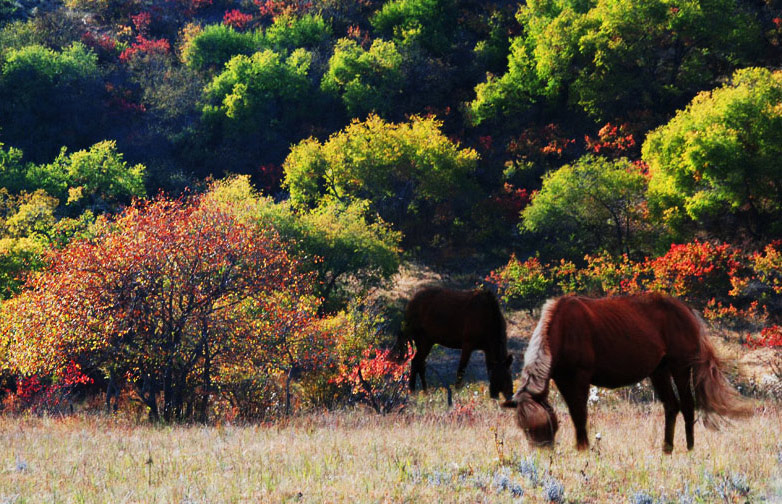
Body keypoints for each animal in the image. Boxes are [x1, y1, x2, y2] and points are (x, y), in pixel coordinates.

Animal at [502, 292, 752, 452]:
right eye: (525, 429)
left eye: (543, 425)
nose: (543, 453)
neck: (563, 328)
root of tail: (687, 310)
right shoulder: (563, 380)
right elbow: (574, 413)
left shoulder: (580, 378)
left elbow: (580, 414)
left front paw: (583, 448)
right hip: (659, 372)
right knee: (672, 406)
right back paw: (667, 448)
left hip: (680, 367)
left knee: (688, 406)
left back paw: (690, 448)